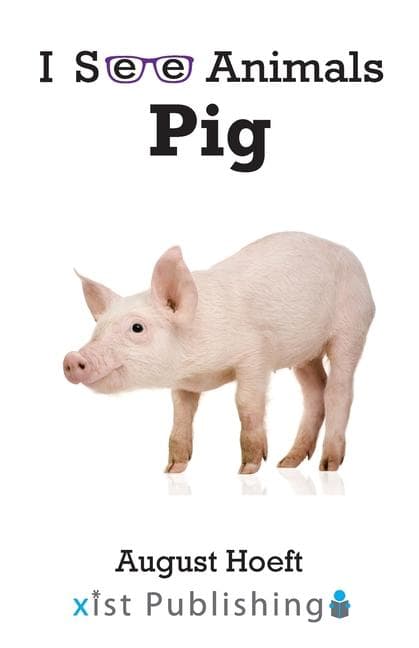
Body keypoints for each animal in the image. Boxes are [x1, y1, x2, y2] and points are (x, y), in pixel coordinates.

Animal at [63, 232, 375, 473]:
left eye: (137, 328)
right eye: (97, 329)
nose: (71, 358)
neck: (199, 368)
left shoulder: (255, 355)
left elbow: (246, 403)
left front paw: (248, 469)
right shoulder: (184, 383)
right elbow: (181, 413)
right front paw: (173, 469)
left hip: (352, 327)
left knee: (339, 390)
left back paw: (328, 466)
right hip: (305, 353)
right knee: (315, 391)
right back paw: (287, 463)